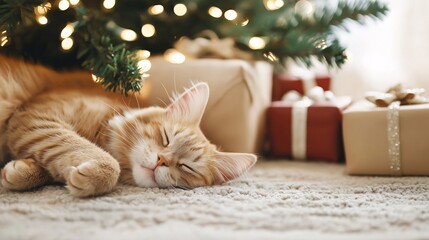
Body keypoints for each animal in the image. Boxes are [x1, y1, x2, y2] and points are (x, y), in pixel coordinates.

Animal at [0, 55, 254, 197]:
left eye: (186, 167)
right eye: (165, 138)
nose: (161, 161)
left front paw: (19, 171)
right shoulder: (39, 117)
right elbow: (80, 148)